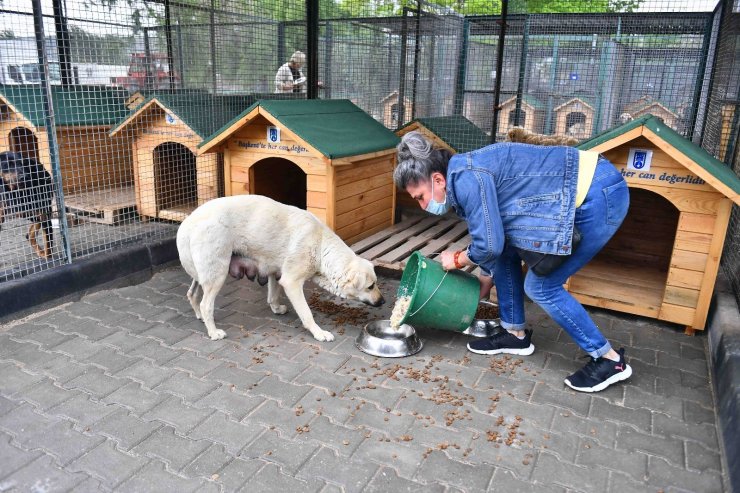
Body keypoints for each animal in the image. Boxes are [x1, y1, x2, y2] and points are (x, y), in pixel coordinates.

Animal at [178, 194, 388, 340]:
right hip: (217, 273)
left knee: (192, 294)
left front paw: (276, 308)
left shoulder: (275, 273)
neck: (321, 245)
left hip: (203, 274)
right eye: (370, 286)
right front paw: (319, 333)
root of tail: (187, 222)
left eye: (375, 284)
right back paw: (213, 332)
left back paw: (200, 317)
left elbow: (272, 295)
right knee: (206, 304)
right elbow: (306, 313)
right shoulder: (292, 282)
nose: (383, 301)